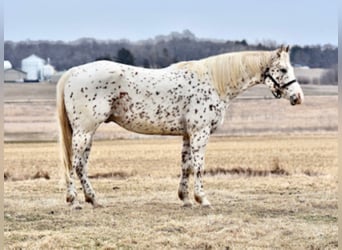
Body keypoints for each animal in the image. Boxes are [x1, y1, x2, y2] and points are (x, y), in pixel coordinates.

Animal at [56, 45, 304, 209]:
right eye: (283, 69)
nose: (298, 97)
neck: (214, 82)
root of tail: (72, 72)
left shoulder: (187, 134)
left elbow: (186, 167)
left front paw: (185, 198)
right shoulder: (200, 133)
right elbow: (199, 166)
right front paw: (202, 199)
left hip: (87, 133)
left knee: (81, 166)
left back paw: (94, 199)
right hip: (84, 132)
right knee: (73, 165)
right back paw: (74, 201)